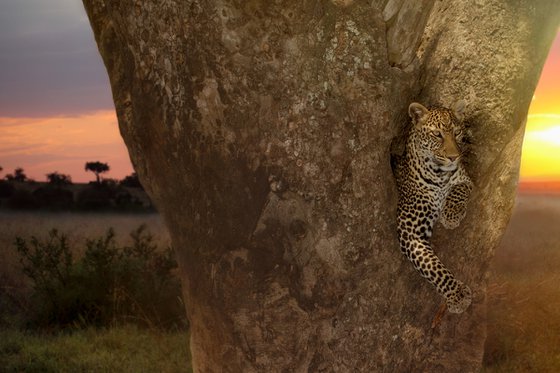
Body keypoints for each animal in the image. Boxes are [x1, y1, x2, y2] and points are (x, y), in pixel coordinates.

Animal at [394, 100, 472, 312]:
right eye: (437, 134)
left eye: (456, 132)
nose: (454, 157)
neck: (438, 174)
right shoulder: (409, 229)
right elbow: (431, 266)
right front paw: (457, 294)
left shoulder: (464, 179)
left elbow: (458, 189)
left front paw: (450, 215)